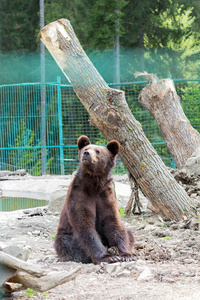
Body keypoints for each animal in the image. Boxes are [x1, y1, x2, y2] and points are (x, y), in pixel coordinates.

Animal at [54, 135, 134, 264]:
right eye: (86, 148)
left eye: (98, 151)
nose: (86, 153)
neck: (94, 184)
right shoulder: (79, 195)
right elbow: (84, 223)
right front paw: (107, 256)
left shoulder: (106, 197)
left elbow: (113, 222)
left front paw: (126, 254)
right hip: (64, 235)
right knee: (67, 244)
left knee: (130, 233)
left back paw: (113, 248)